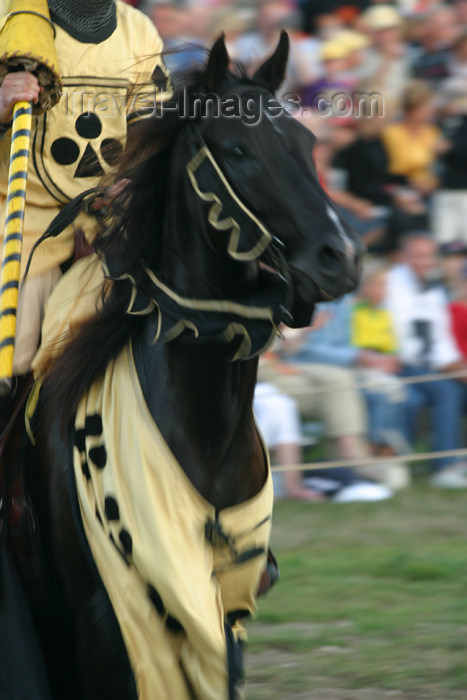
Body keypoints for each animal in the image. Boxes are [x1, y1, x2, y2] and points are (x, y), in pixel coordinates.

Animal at [11, 34, 362, 700]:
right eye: (238, 150)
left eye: (307, 144)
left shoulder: (222, 614)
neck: (204, 426)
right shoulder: (107, 627)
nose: (342, 258)